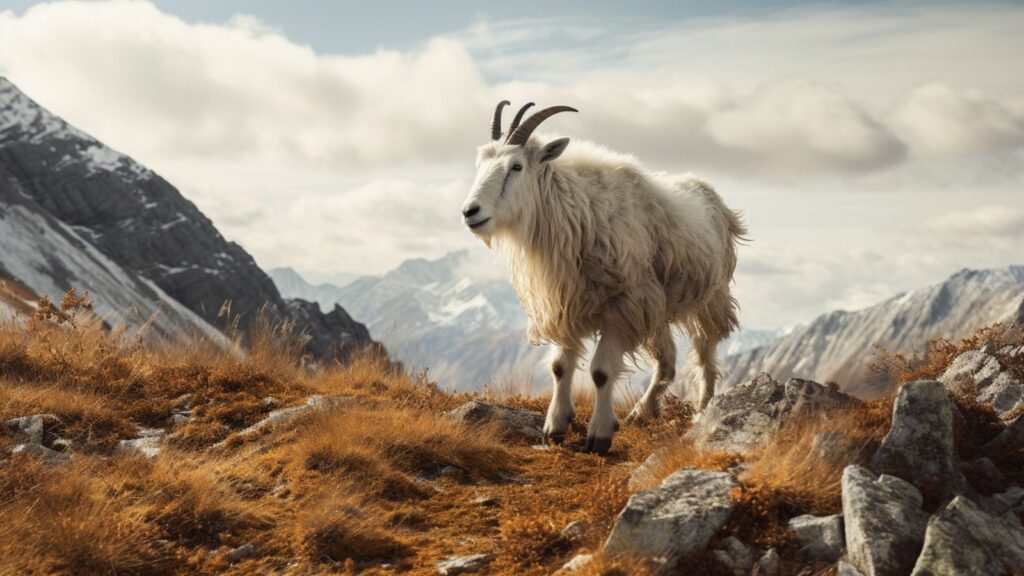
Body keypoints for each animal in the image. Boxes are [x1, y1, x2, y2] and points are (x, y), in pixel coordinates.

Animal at [460, 101, 746, 454]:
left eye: (516, 166)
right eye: (480, 164)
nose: (470, 212)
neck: (575, 212)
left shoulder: (621, 306)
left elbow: (601, 372)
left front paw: (599, 434)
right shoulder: (566, 302)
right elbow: (560, 367)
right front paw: (555, 425)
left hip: (708, 296)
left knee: (705, 352)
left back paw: (702, 411)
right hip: (657, 308)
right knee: (667, 361)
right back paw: (643, 411)